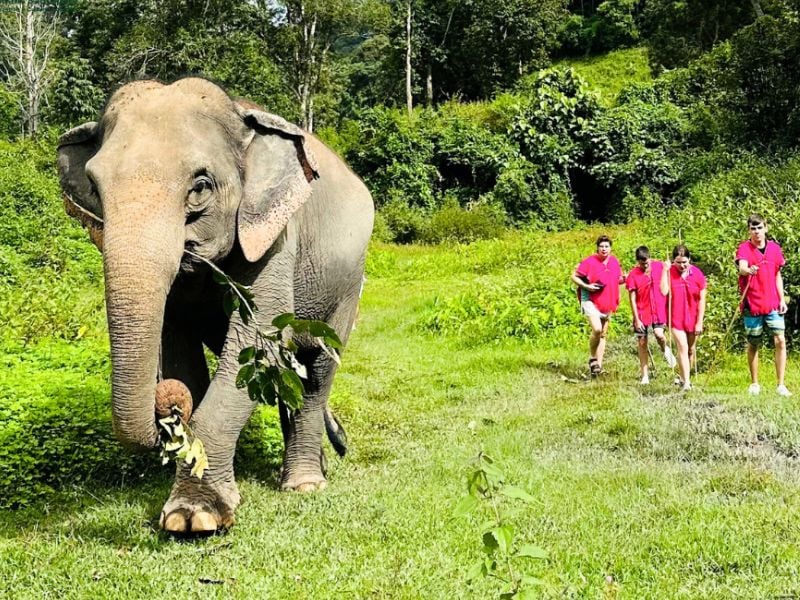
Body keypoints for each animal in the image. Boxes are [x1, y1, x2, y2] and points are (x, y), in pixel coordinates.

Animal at [57, 77, 374, 533]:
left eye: (201, 186)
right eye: (94, 187)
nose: (166, 404)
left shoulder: (277, 238)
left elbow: (256, 347)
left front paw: (195, 517)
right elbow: (181, 356)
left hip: (349, 286)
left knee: (315, 373)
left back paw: (304, 485)